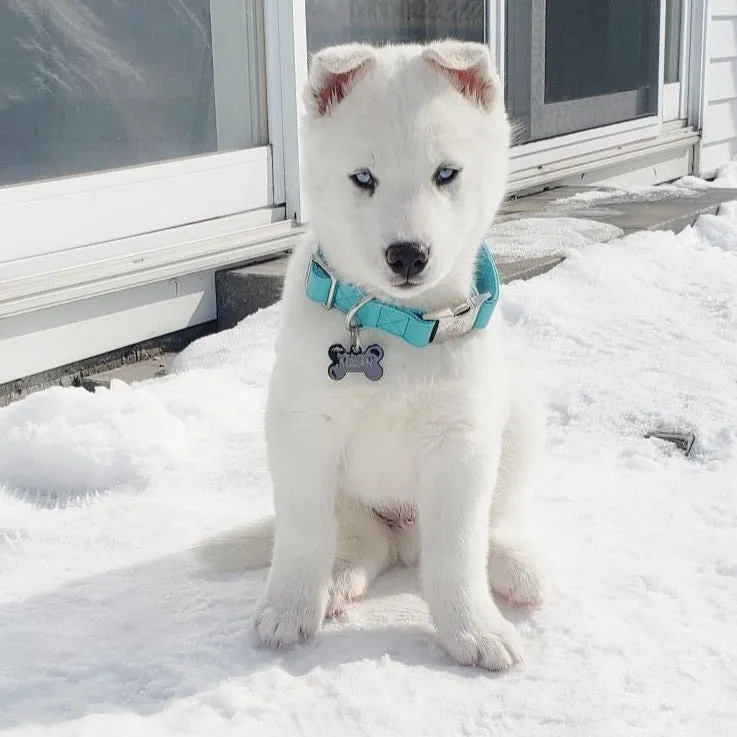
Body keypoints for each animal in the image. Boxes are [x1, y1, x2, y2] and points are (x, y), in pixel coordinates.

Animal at [250, 41, 544, 672]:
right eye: (363, 178)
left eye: (446, 174)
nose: (407, 255)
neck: (394, 323)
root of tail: (406, 536)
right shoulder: (304, 429)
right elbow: (304, 532)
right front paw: (288, 608)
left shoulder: (461, 441)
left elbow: (458, 548)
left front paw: (473, 629)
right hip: (353, 503)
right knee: (360, 540)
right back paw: (336, 581)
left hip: (519, 421)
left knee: (489, 523)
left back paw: (515, 568)